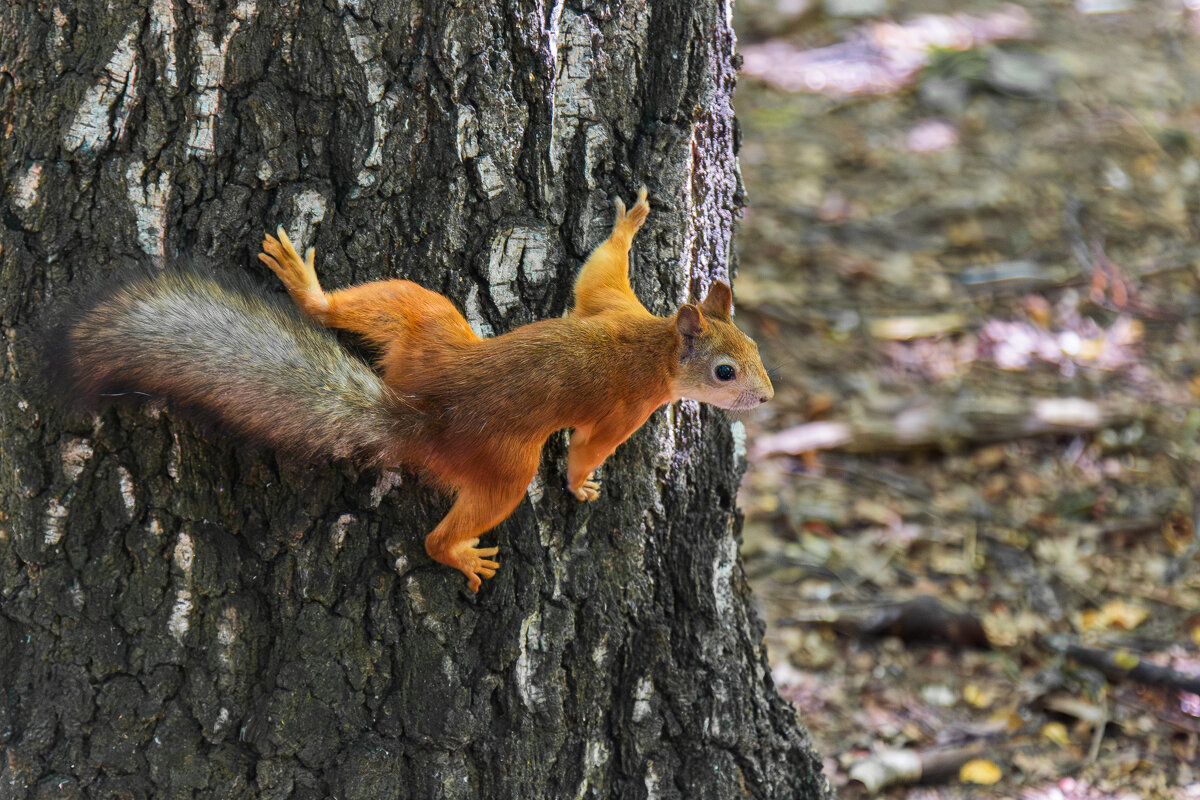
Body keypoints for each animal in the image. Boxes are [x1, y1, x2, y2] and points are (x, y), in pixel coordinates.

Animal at [65, 185, 772, 587]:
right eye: (725, 371)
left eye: (756, 349)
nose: (765, 397)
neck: (655, 344)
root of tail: (432, 413)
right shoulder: (629, 404)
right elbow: (589, 448)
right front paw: (581, 484)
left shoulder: (611, 304)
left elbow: (598, 267)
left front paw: (629, 223)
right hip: (503, 466)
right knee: (451, 527)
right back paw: (458, 555)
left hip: (424, 327)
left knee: (377, 307)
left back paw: (309, 290)